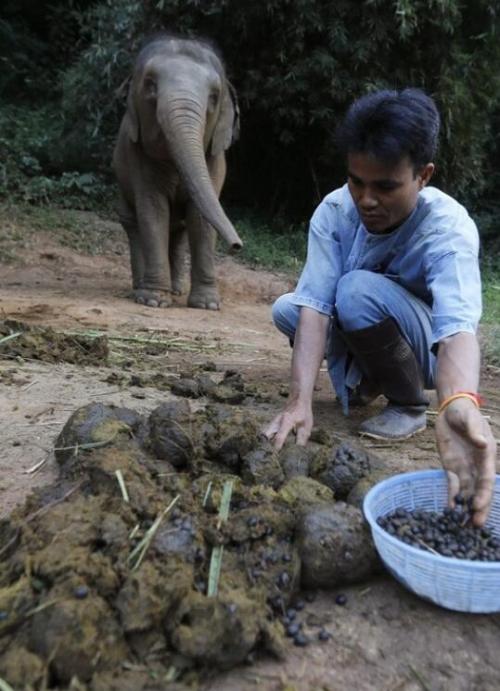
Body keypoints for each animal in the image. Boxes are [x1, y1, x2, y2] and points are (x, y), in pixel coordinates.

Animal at [115, 33, 244, 310]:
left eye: (214, 96)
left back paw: (175, 290)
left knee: (179, 231)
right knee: (133, 223)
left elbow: (199, 217)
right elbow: (153, 210)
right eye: (150, 85)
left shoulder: (214, 160)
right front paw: (153, 300)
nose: (237, 246)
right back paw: (140, 288)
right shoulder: (138, 156)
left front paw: (207, 305)